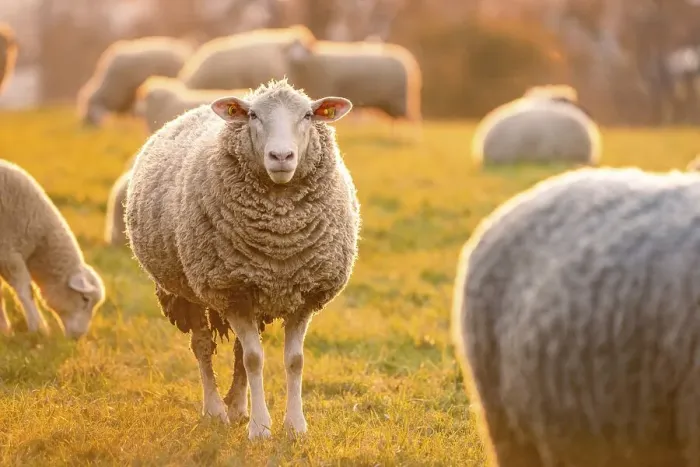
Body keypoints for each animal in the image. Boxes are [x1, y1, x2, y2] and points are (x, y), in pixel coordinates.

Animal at [0, 160, 105, 338]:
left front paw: (4, 328)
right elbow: (26, 290)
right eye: (85, 299)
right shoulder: (8, 253)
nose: (79, 336)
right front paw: (38, 328)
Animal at [125, 78, 360, 439]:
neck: (281, 240)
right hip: (190, 289)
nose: (281, 156)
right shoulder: (231, 291)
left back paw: (237, 407)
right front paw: (261, 429)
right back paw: (215, 411)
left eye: (308, 115)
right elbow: (254, 359)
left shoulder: (304, 294)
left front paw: (295, 426)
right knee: (203, 347)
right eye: (253, 115)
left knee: (236, 350)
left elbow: (294, 360)